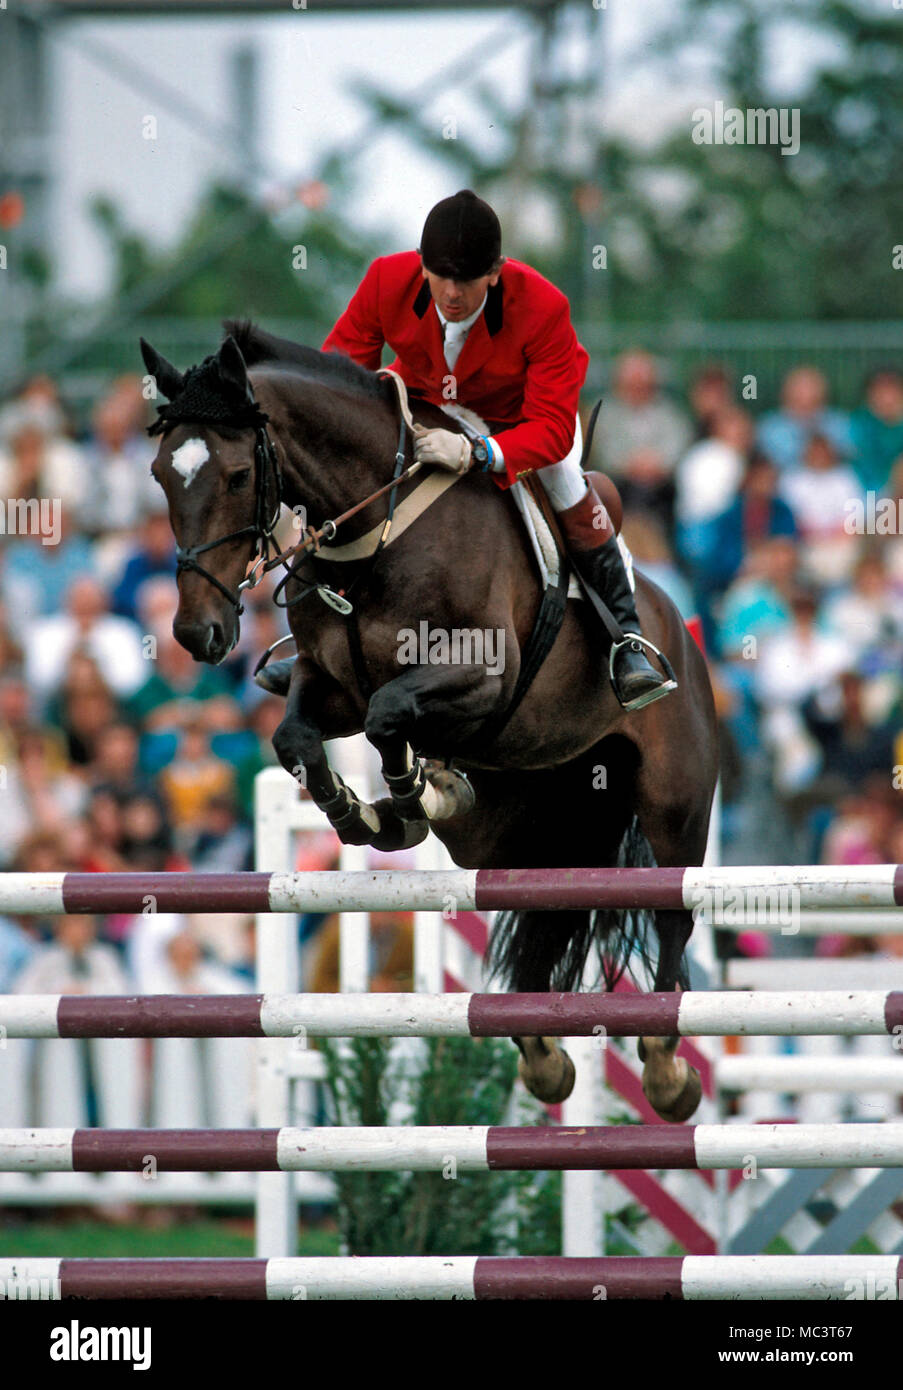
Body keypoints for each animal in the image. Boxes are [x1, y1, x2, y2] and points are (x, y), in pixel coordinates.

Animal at [140, 319, 716, 1123]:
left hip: (672, 798)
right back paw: (541, 1055)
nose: (199, 634)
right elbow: (297, 736)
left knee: (671, 910)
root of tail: (678, 632)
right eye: (162, 475)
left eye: (235, 476)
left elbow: (390, 715)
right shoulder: (328, 687)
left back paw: (664, 1066)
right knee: (542, 914)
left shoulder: (481, 677)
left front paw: (412, 795)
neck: (373, 536)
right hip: (518, 826)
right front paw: (370, 814)